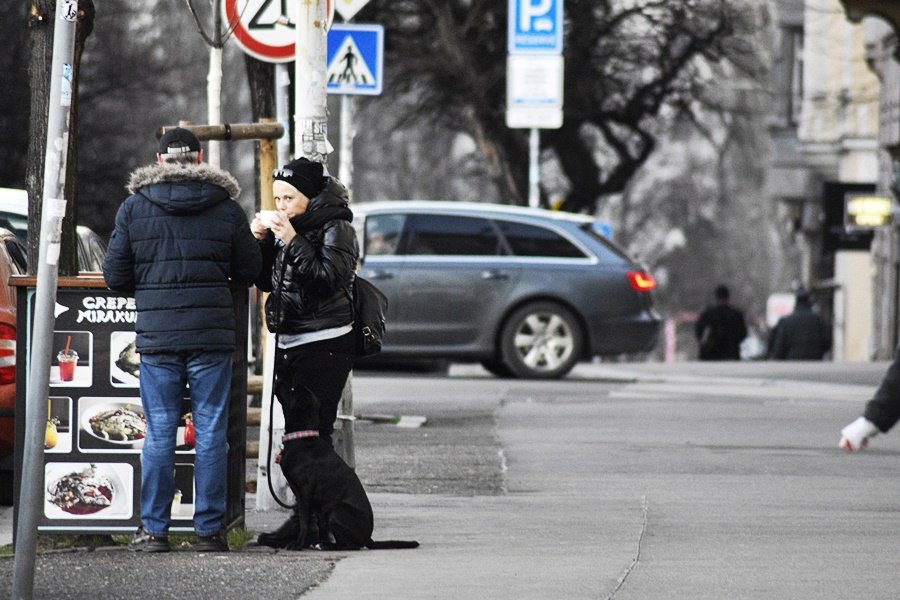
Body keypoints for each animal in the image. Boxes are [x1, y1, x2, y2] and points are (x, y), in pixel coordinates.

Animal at [256, 382, 418, 552]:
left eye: (293, 389)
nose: (277, 381)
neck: (302, 439)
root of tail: (368, 538)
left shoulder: (305, 491)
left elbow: (305, 521)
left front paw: (298, 544)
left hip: (337, 510)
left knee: (351, 546)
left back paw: (327, 545)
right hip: (327, 512)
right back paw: (322, 543)